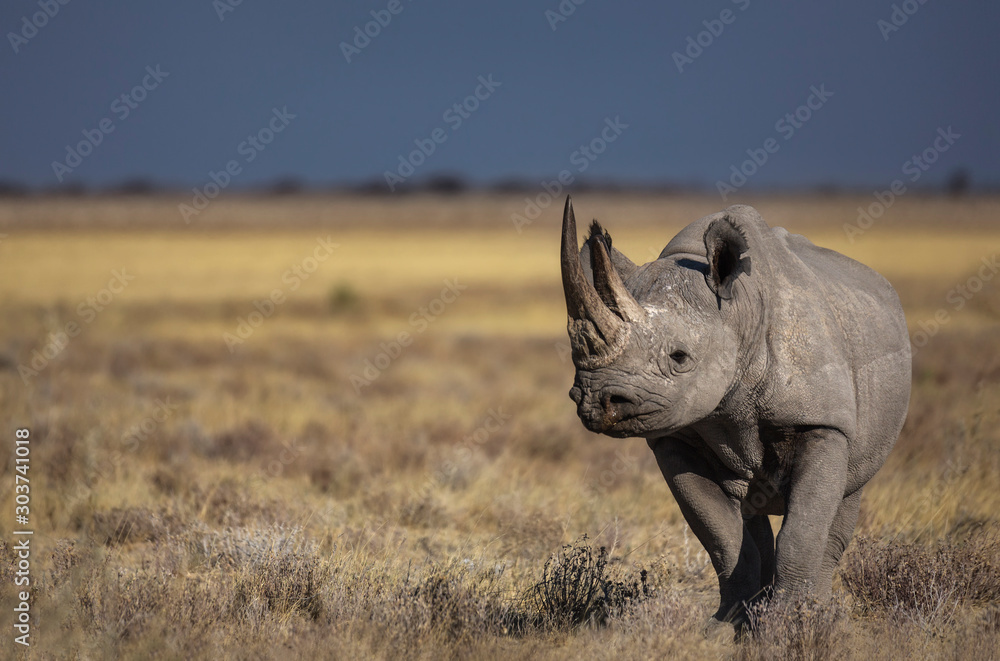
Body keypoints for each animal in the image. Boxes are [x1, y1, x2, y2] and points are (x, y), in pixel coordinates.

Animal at [560, 196, 910, 631]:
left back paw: (820, 613)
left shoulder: (823, 423)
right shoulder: (675, 436)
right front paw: (726, 628)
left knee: (842, 502)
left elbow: (804, 531)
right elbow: (721, 535)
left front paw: (787, 624)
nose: (596, 400)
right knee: (749, 514)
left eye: (679, 357)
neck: (739, 310)